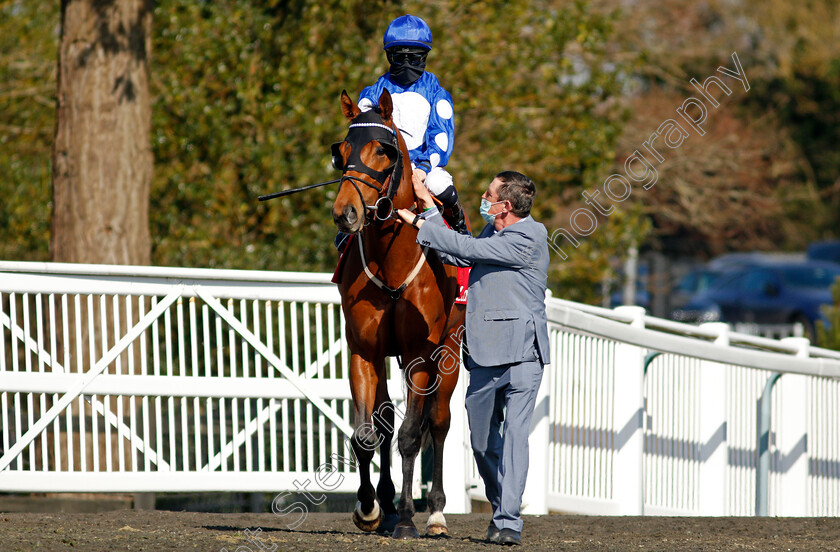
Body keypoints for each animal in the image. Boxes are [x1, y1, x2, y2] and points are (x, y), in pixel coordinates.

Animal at [332, 89, 466, 540]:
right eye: (341, 152)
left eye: (382, 150)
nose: (345, 213)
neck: (393, 263)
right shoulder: (364, 351)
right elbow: (366, 434)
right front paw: (370, 509)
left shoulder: (420, 355)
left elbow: (411, 435)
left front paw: (408, 518)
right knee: (387, 418)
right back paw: (388, 506)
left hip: (450, 350)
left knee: (438, 422)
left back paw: (436, 514)